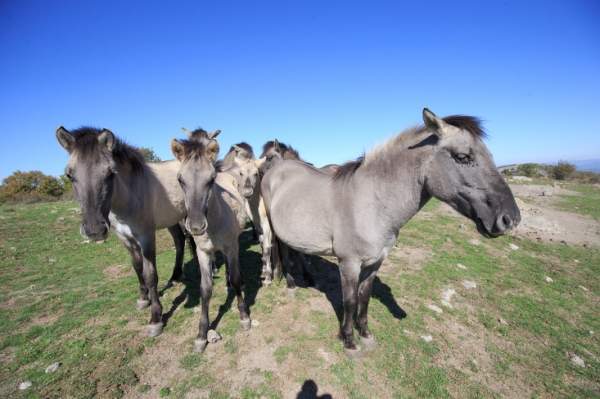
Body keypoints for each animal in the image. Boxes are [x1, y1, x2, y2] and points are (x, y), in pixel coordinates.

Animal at [170, 135, 252, 354]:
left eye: (211, 179)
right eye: (180, 179)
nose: (196, 226)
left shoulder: (231, 247)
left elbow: (237, 278)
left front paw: (244, 317)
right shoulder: (203, 252)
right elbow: (205, 289)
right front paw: (201, 335)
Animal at [262, 108, 520, 354]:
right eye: (463, 157)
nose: (510, 218)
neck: (371, 203)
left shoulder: (376, 262)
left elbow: (364, 297)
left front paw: (365, 333)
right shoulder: (349, 263)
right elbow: (350, 301)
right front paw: (349, 340)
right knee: (283, 252)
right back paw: (291, 284)